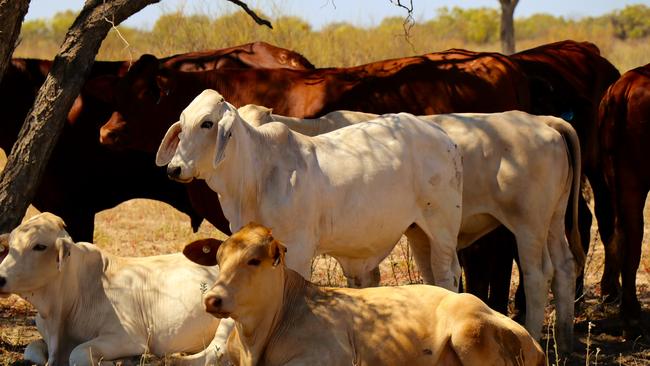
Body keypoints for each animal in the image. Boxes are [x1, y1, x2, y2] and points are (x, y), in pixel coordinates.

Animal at [0, 213, 220, 364]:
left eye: (40, 246)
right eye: (10, 245)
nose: (0, 278)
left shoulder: (128, 338)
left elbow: (77, 354)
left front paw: (118, 361)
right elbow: (31, 349)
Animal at [234, 103, 584, 354]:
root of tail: (542, 120)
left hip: (528, 224)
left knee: (537, 274)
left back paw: (535, 334)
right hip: (553, 221)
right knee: (565, 266)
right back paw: (566, 340)